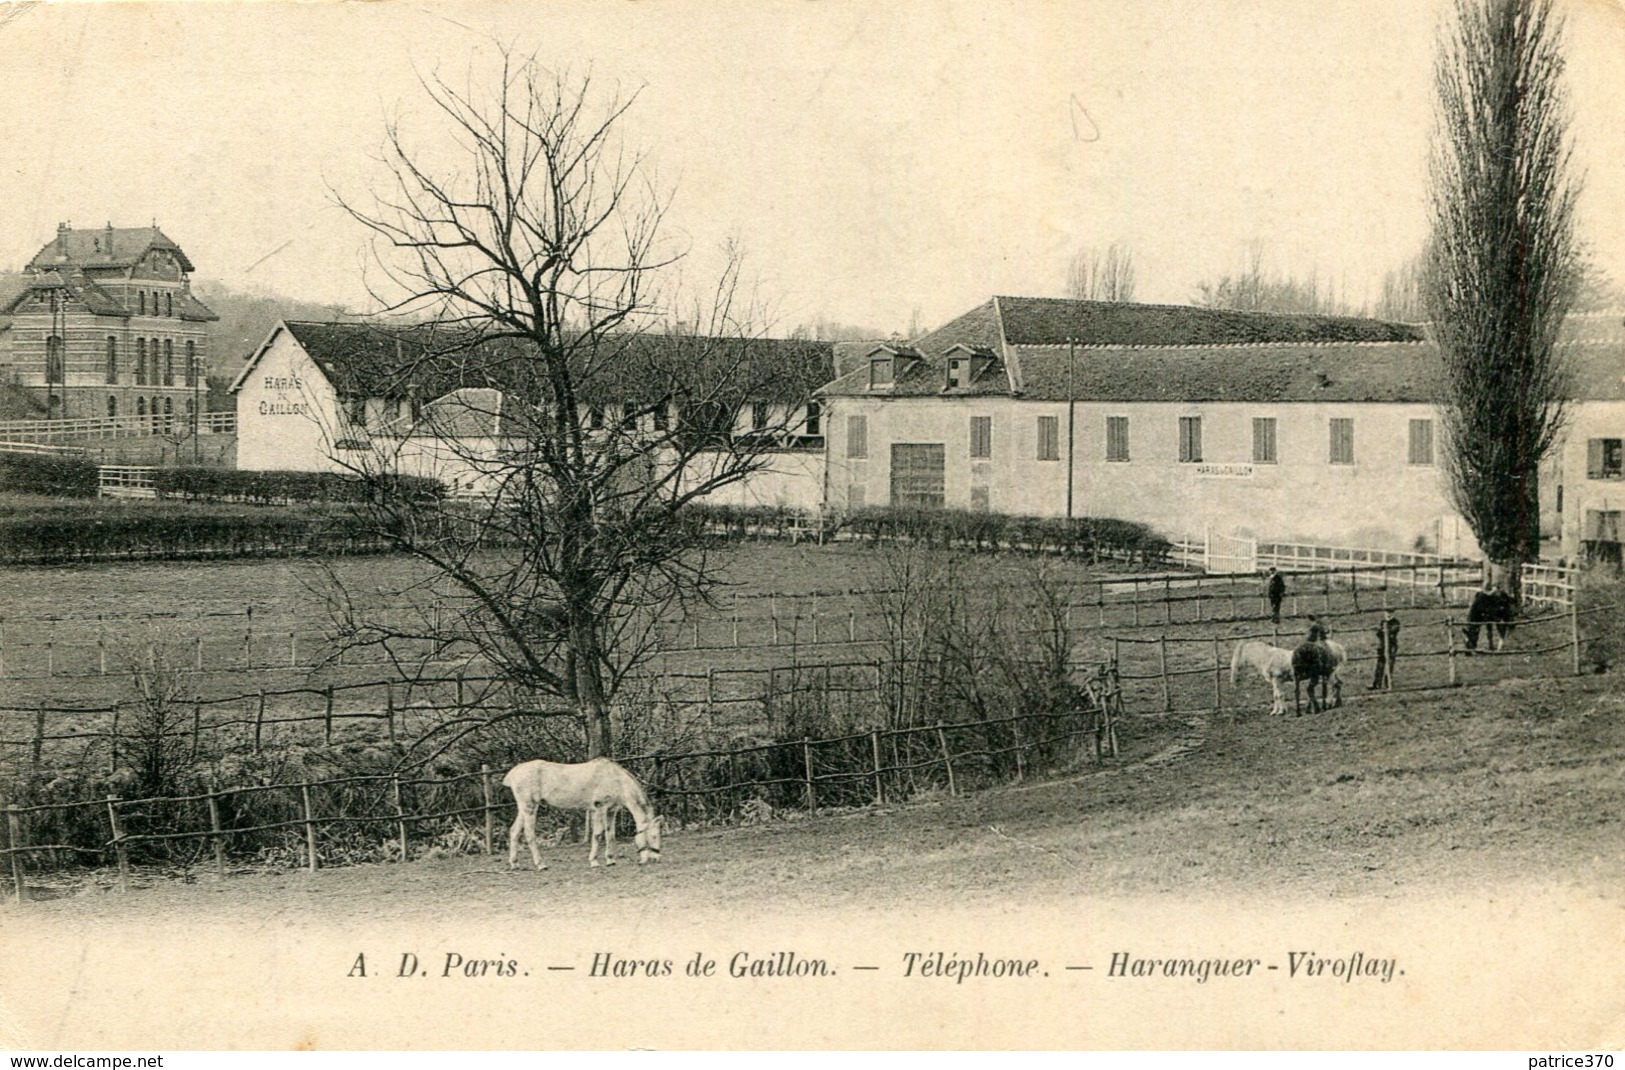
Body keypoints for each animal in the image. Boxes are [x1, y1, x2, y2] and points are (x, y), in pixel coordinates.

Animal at [503, 757, 663, 865]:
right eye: (653, 836)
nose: (656, 858)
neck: (615, 779)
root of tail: (513, 773)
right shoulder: (599, 808)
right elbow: (598, 834)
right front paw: (594, 861)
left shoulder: (611, 811)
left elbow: (610, 835)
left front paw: (610, 860)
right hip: (530, 807)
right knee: (529, 834)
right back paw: (540, 864)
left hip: (524, 808)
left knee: (514, 831)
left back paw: (514, 863)